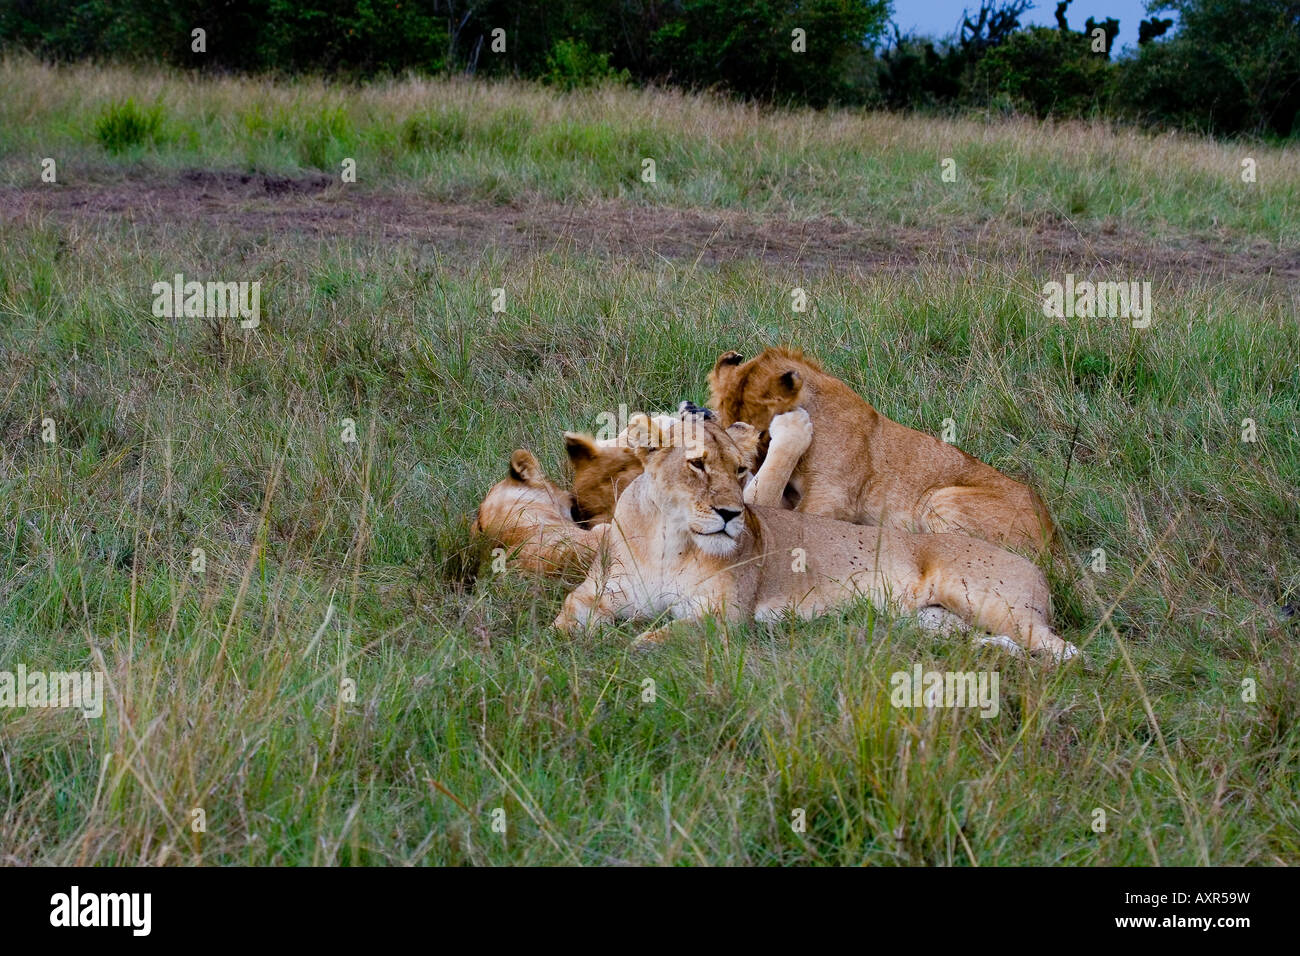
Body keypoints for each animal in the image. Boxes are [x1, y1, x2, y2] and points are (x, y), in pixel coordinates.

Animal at [554, 414, 1078, 662]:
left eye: (740, 470)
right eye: (697, 464)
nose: (731, 514)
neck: (670, 539)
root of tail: (1044, 565)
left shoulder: (723, 617)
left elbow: (650, 641)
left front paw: (623, 647)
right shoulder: (599, 592)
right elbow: (563, 623)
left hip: (984, 594)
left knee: (1065, 651)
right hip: (933, 621)